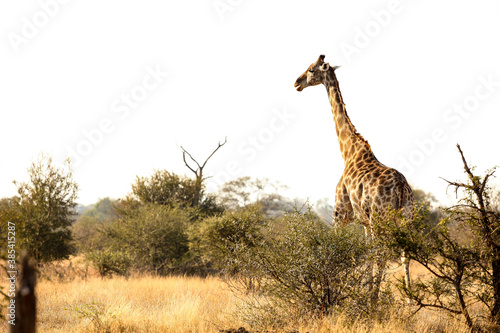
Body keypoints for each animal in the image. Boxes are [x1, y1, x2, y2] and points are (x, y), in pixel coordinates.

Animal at [292, 55, 414, 300]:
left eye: (310, 70)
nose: (296, 83)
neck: (349, 152)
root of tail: (401, 187)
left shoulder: (341, 213)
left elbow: (337, 248)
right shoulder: (364, 222)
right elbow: (367, 255)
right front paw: (365, 291)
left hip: (380, 218)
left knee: (384, 253)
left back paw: (376, 300)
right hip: (406, 217)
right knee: (405, 253)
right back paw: (409, 299)